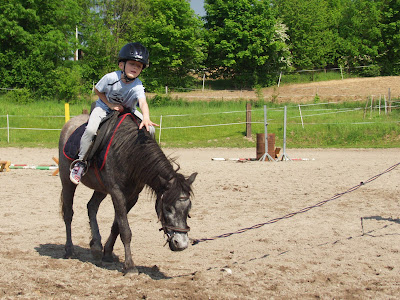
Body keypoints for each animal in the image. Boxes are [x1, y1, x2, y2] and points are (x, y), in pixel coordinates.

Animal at [58, 112, 198, 274]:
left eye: (188, 208)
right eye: (168, 208)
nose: (181, 244)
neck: (129, 153)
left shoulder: (132, 197)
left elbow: (117, 226)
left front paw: (107, 253)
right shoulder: (117, 193)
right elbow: (125, 230)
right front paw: (130, 266)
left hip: (101, 188)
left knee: (91, 206)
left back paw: (96, 246)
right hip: (67, 181)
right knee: (68, 214)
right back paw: (69, 250)